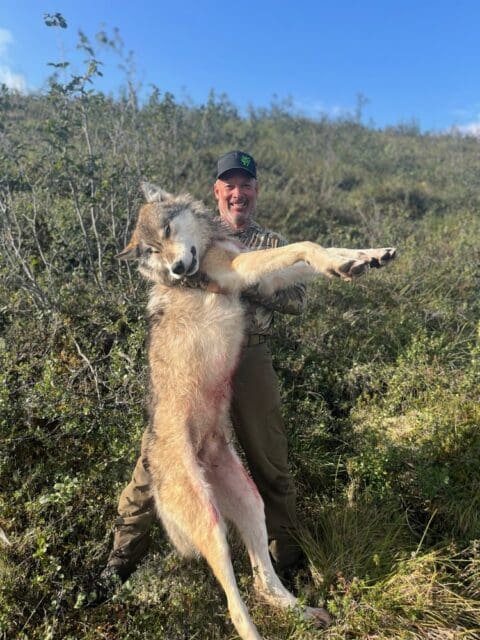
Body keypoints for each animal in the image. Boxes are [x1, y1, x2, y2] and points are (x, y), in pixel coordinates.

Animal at [117, 182, 396, 640]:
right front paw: (341, 261)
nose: (179, 269)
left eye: (168, 232)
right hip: (212, 527)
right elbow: (305, 245)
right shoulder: (240, 269)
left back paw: (305, 613)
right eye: (153, 251)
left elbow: (310, 255)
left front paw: (365, 257)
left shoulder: (262, 276)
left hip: (251, 504)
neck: (210, 242)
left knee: (264, 581)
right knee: (235, 606)